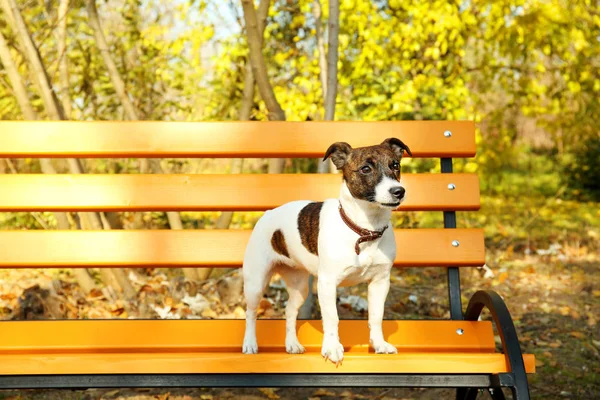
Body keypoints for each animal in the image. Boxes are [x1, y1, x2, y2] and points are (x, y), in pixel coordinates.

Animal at [241, 138, 410, 366]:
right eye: (366, 169)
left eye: (395, 165)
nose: (398, 191)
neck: (363, 230)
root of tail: (267, 214)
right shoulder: (327, 283)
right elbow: (331, 317)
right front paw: (332, 348)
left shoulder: (380, 282)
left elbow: (376, 316)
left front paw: (379, 344)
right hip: (256, 283)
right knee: (250, 313)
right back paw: (250, 343)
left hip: (300, 287)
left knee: (289, 311)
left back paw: (292, 344)